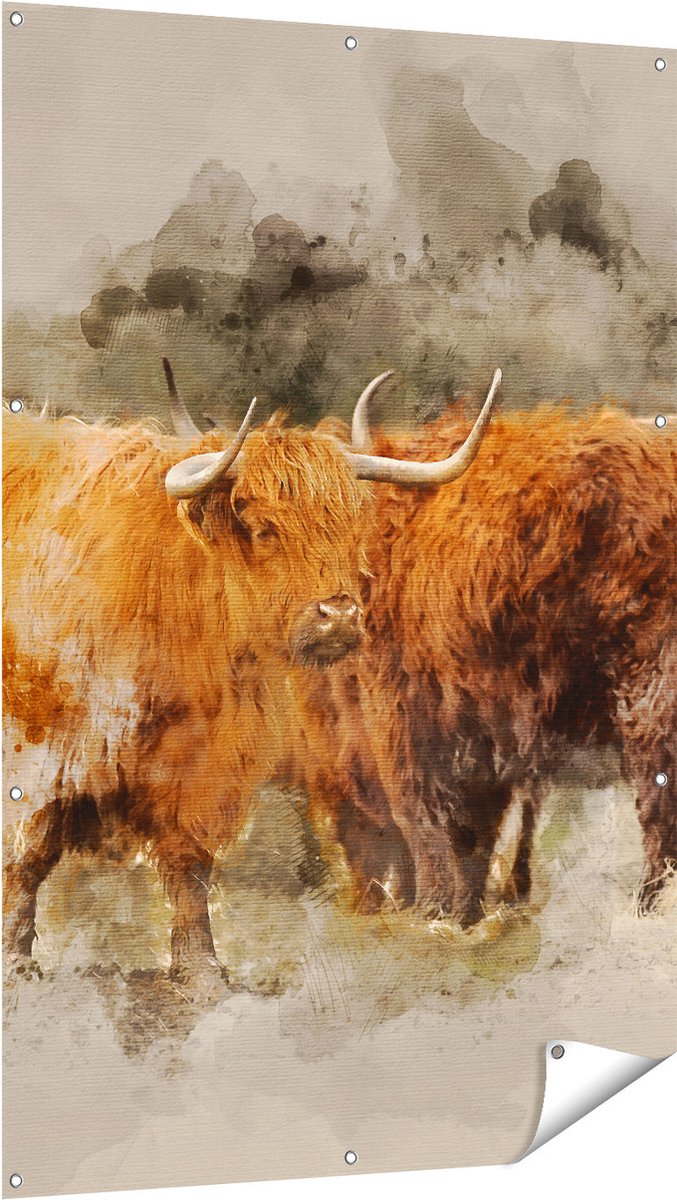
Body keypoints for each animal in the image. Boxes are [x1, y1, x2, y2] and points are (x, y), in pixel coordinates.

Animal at [2, 363, 496, 992]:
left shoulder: (204, 761)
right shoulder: (43, 750)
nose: (340, 615)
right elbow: (29, 851)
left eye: (348, 525)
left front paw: (201, 967)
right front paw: (16, 962)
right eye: (264, 529)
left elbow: (189, 860)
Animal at [292, 384, 676, 925]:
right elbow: (469, 834)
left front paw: (433, 913)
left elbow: (424, 821)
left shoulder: (401, 719)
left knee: (658, 800)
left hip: (649, 690)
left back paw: (647, 906)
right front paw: (461, 912)